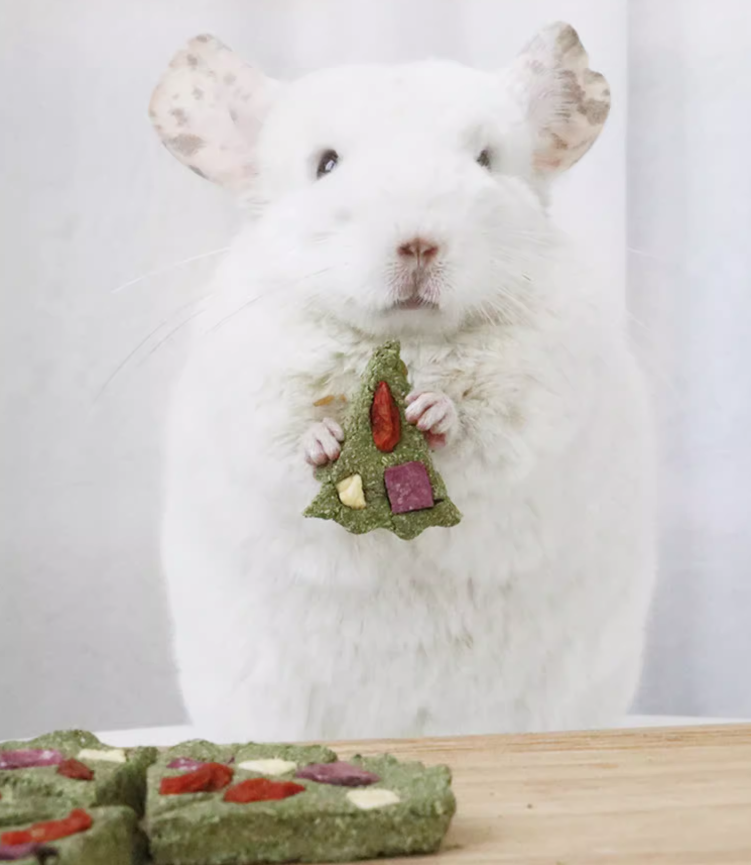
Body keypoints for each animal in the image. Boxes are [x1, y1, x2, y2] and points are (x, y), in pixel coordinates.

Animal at [149, 22, 655, 743]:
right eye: (326, 164)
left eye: (485, 159)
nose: (418, 243)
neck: (407, 342)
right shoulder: (251, 391)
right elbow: (287, 435)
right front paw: (326, 441)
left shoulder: (543, 393)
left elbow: (486, 426)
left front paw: (434, 411)